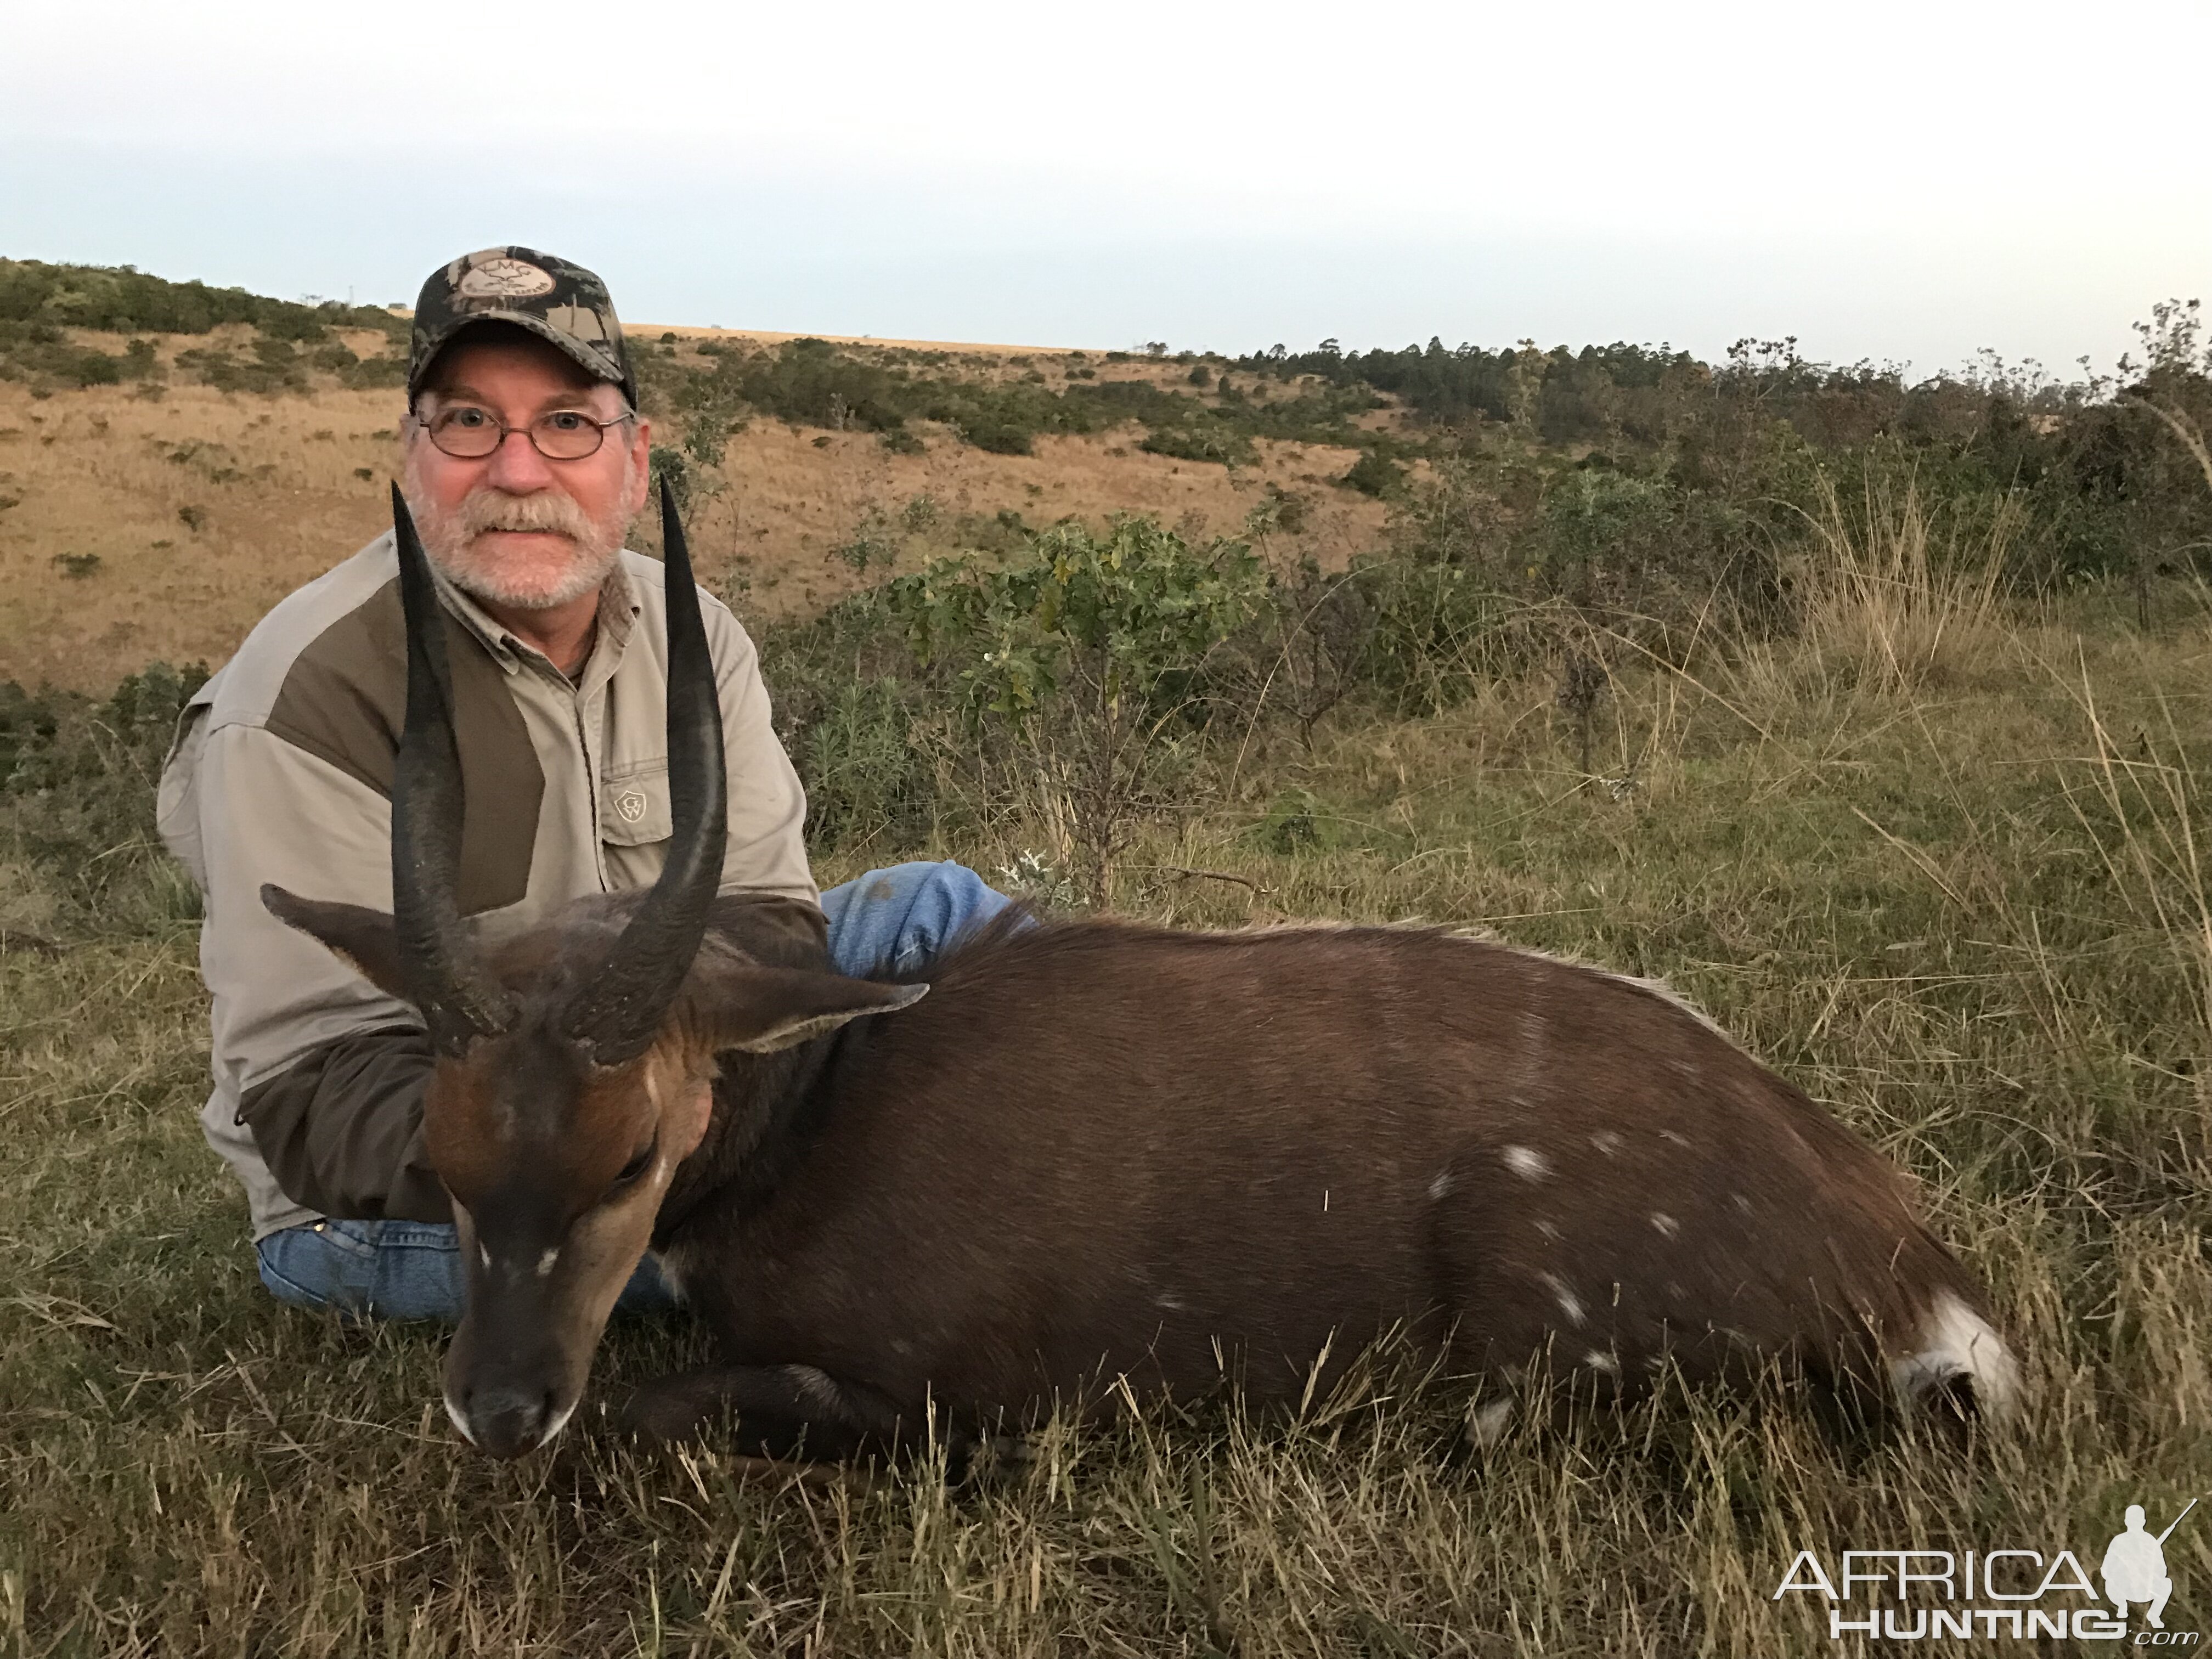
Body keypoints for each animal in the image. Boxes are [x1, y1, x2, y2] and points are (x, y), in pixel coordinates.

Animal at [263, 484, 2026, 1469]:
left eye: (632, 1155)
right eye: (445, 1158)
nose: (499, 1412)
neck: (828, 1108)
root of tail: (1914, 1274)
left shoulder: (950, 1404)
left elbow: (657, 1410)